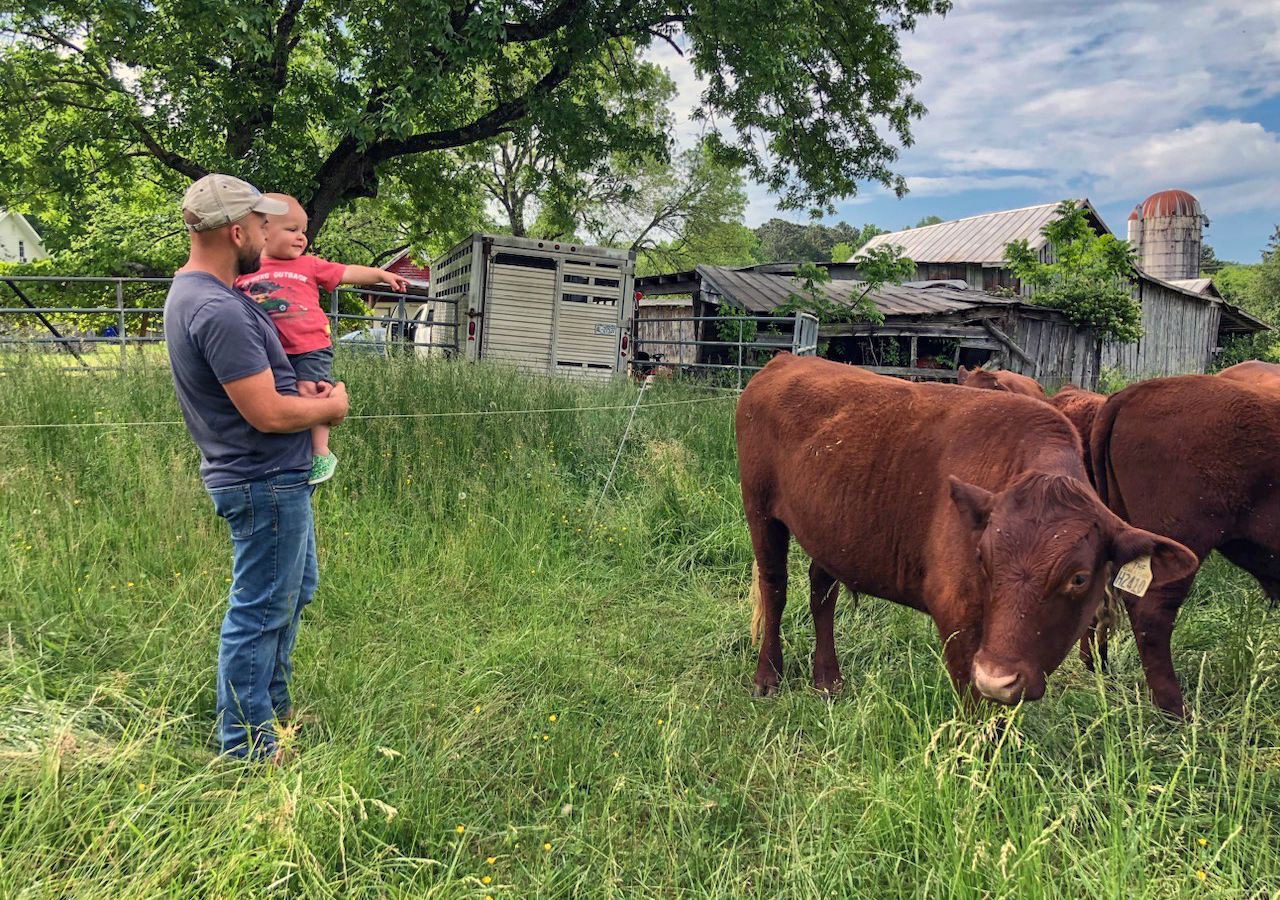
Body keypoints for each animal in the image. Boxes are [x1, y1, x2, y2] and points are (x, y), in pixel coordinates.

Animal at [736, 354, 1197, 706]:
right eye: (982, 558)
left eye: (1079, 578)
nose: (1000, 678)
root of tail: (786, 359)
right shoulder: (957, 617)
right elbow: (977, 708)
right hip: (760, 510)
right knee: (775, 586)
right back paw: (767, 676)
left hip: (829, 528)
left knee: (821, 590)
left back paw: (827, 680)